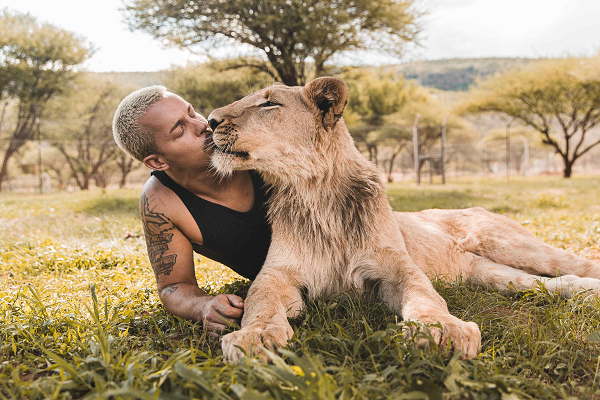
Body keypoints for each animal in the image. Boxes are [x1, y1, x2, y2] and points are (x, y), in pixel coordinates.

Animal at [205, 76, 600, 362]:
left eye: (268, 103)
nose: (209, 121)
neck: (316, 193)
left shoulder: (394, 265)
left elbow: (425, 294)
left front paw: (442, 330)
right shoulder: (277, 272)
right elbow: (259, 301)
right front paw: (256, 336)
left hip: (509, 243)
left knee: (576, 264)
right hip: (485, 273)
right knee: (544, 282)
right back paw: (585, 294)